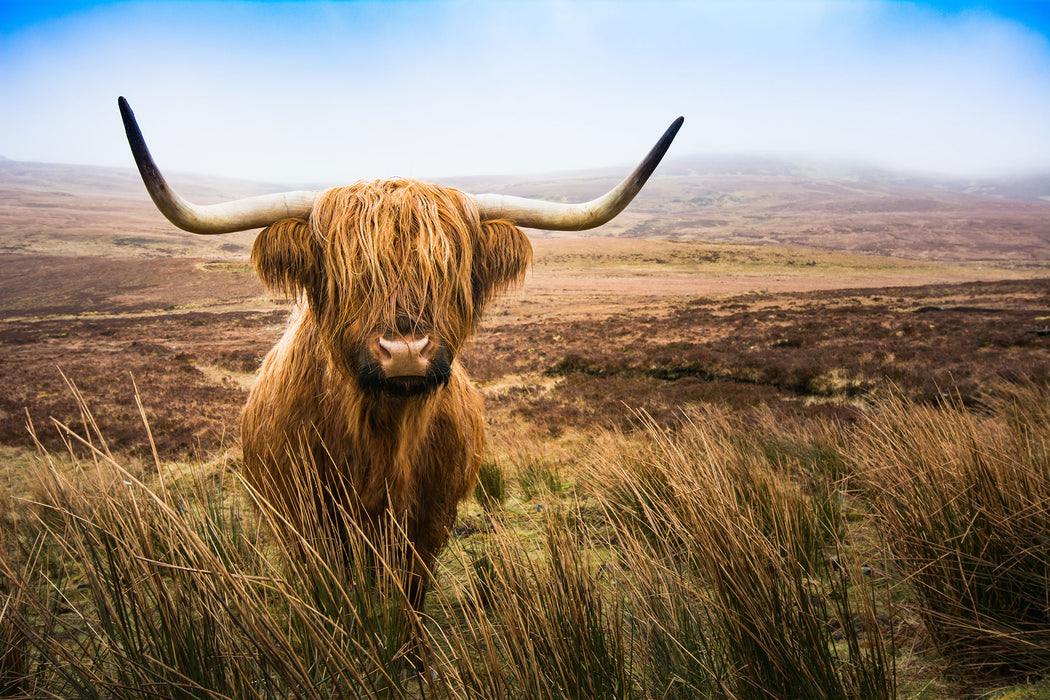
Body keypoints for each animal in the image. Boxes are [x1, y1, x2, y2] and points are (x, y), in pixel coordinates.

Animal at [119, 97, 684, 633]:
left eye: (449, 268)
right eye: (346, 272)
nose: (407, 351)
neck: (382, 440)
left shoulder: (430, 522)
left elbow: (410, 597)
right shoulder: (307, 525)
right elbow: (331, 596)